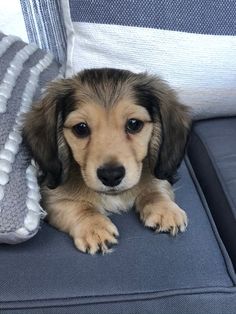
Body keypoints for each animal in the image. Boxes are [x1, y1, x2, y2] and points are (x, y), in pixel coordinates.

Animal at [23, 68, 191, 255]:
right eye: (80, 128)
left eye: (134, 124)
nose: (111, 175)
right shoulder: (51, 198)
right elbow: (80, 207)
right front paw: (93, 227)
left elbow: (155, 187)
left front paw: (165, 208)